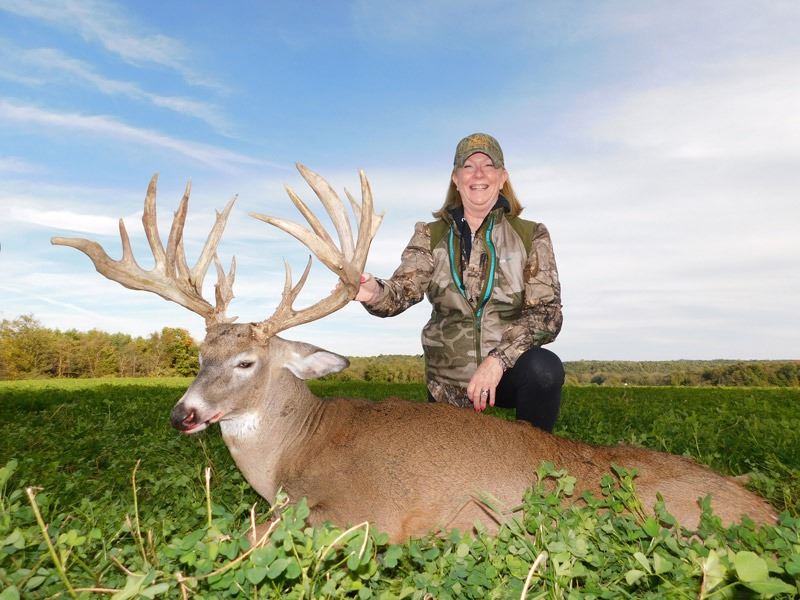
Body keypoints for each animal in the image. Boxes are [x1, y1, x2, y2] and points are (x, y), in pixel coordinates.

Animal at [52, 165, 777, 543]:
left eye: (246, 363)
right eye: (199, 354)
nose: (184, 414)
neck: (292, 454)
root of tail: (771, 511)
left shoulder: (357, 513)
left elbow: (237, 537)